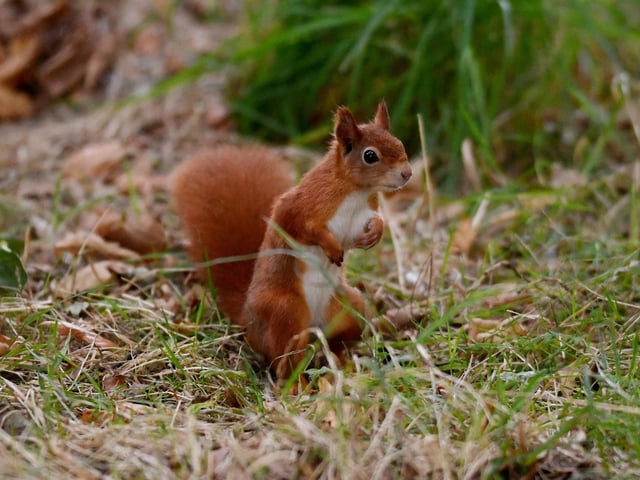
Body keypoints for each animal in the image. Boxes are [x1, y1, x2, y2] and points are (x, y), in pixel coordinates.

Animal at [171, 101, 412, 385]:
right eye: (370, 156)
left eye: (399, 143)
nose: (407, 173)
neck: (356, 191)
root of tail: (248, 320)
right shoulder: (300, 207)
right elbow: (305, 228)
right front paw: (331, 247)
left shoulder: (363, 213)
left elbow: (373, 223)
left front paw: (374, 234)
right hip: (287, 311)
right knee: (282, 360)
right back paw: (298, 385)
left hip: (350, 307)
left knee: (334, 342)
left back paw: (344, 366)